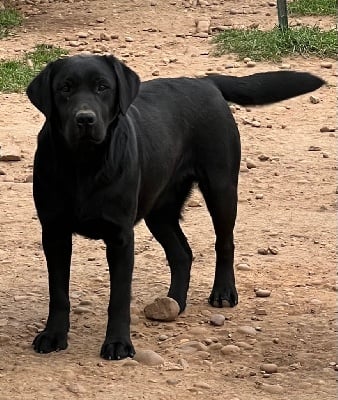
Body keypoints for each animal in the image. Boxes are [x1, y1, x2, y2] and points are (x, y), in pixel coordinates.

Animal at [27, 54, 324, 360]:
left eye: (102, 87)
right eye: (65, 88)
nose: (85, 118)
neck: (84, 165)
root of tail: (206, 82)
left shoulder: (121, 238)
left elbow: (118, 298)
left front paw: (119, 343)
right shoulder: (54, 233)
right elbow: (58, 293)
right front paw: (53, 335)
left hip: (221, 188)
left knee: (224, 243)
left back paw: (223, 292)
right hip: (159, 211)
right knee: (182, 253)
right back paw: (174, 302)